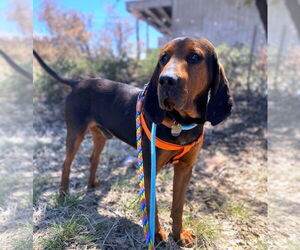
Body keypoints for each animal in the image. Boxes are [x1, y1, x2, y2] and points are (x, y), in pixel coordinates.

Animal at [34, 37, 233, 246]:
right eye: (163, 58)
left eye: (195, 57)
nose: (165, 80)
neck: (179, 122)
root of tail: (77, 82)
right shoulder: (148, 168)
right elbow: (152, 206)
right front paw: (156, 235)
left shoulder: (185, 168)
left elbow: (178, 207)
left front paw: (179, 234)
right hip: (75, 132)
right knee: (66, 163)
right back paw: (63, 193)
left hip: (100, 136)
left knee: (93, 158)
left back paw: (92, 184)